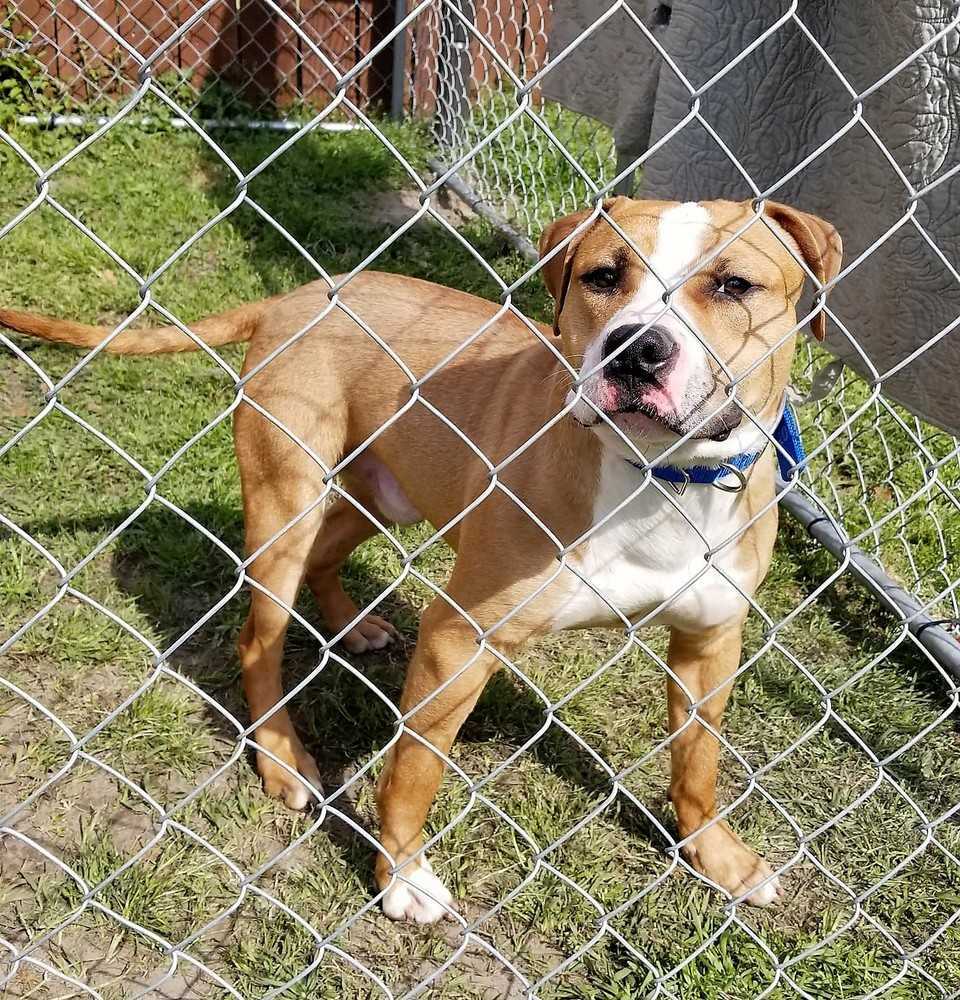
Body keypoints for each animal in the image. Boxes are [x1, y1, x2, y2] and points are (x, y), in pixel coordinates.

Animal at [0, 199, 840, 924]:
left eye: (733, 285)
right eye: (604, 276)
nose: (637, 350)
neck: (661, 476)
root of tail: (297, 297)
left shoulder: (710, 641)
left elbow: (699, 763)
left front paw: (716, 854)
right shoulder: (460, 637)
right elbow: (414, 769)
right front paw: (401, 874)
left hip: (382, 493)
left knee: (329, 553)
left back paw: (353, 625)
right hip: (286, 503)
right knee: (257, 639)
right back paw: (282, 759)